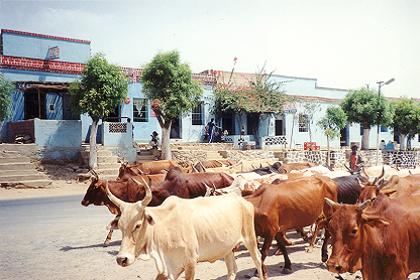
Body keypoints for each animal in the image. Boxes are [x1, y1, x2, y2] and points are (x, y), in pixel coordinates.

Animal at [106, 179, 262, 280]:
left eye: (138, 225)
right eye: (120, 226)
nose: (121, 259)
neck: (163, 227)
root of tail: (241, 200)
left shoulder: (191, 262)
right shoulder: (167, 267)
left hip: (250, 239)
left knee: (258, 260)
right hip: (227, 248)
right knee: (232, 270)